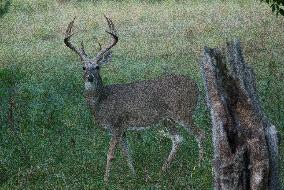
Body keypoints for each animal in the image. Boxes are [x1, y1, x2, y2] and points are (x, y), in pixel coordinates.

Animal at [63, 15, 205, 183]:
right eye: (83, 67)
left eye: (97, 67)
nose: (90, 77)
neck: (101, 102)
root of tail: (196, 86)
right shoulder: (123, 129)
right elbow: (127, 153)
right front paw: (133, 175)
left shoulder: (117, 125)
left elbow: (110, 154)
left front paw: (105, 180)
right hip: (167, 119)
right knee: (178, 139)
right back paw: (163, 170)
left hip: (183, 111)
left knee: (200, 134)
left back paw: (199, 166)